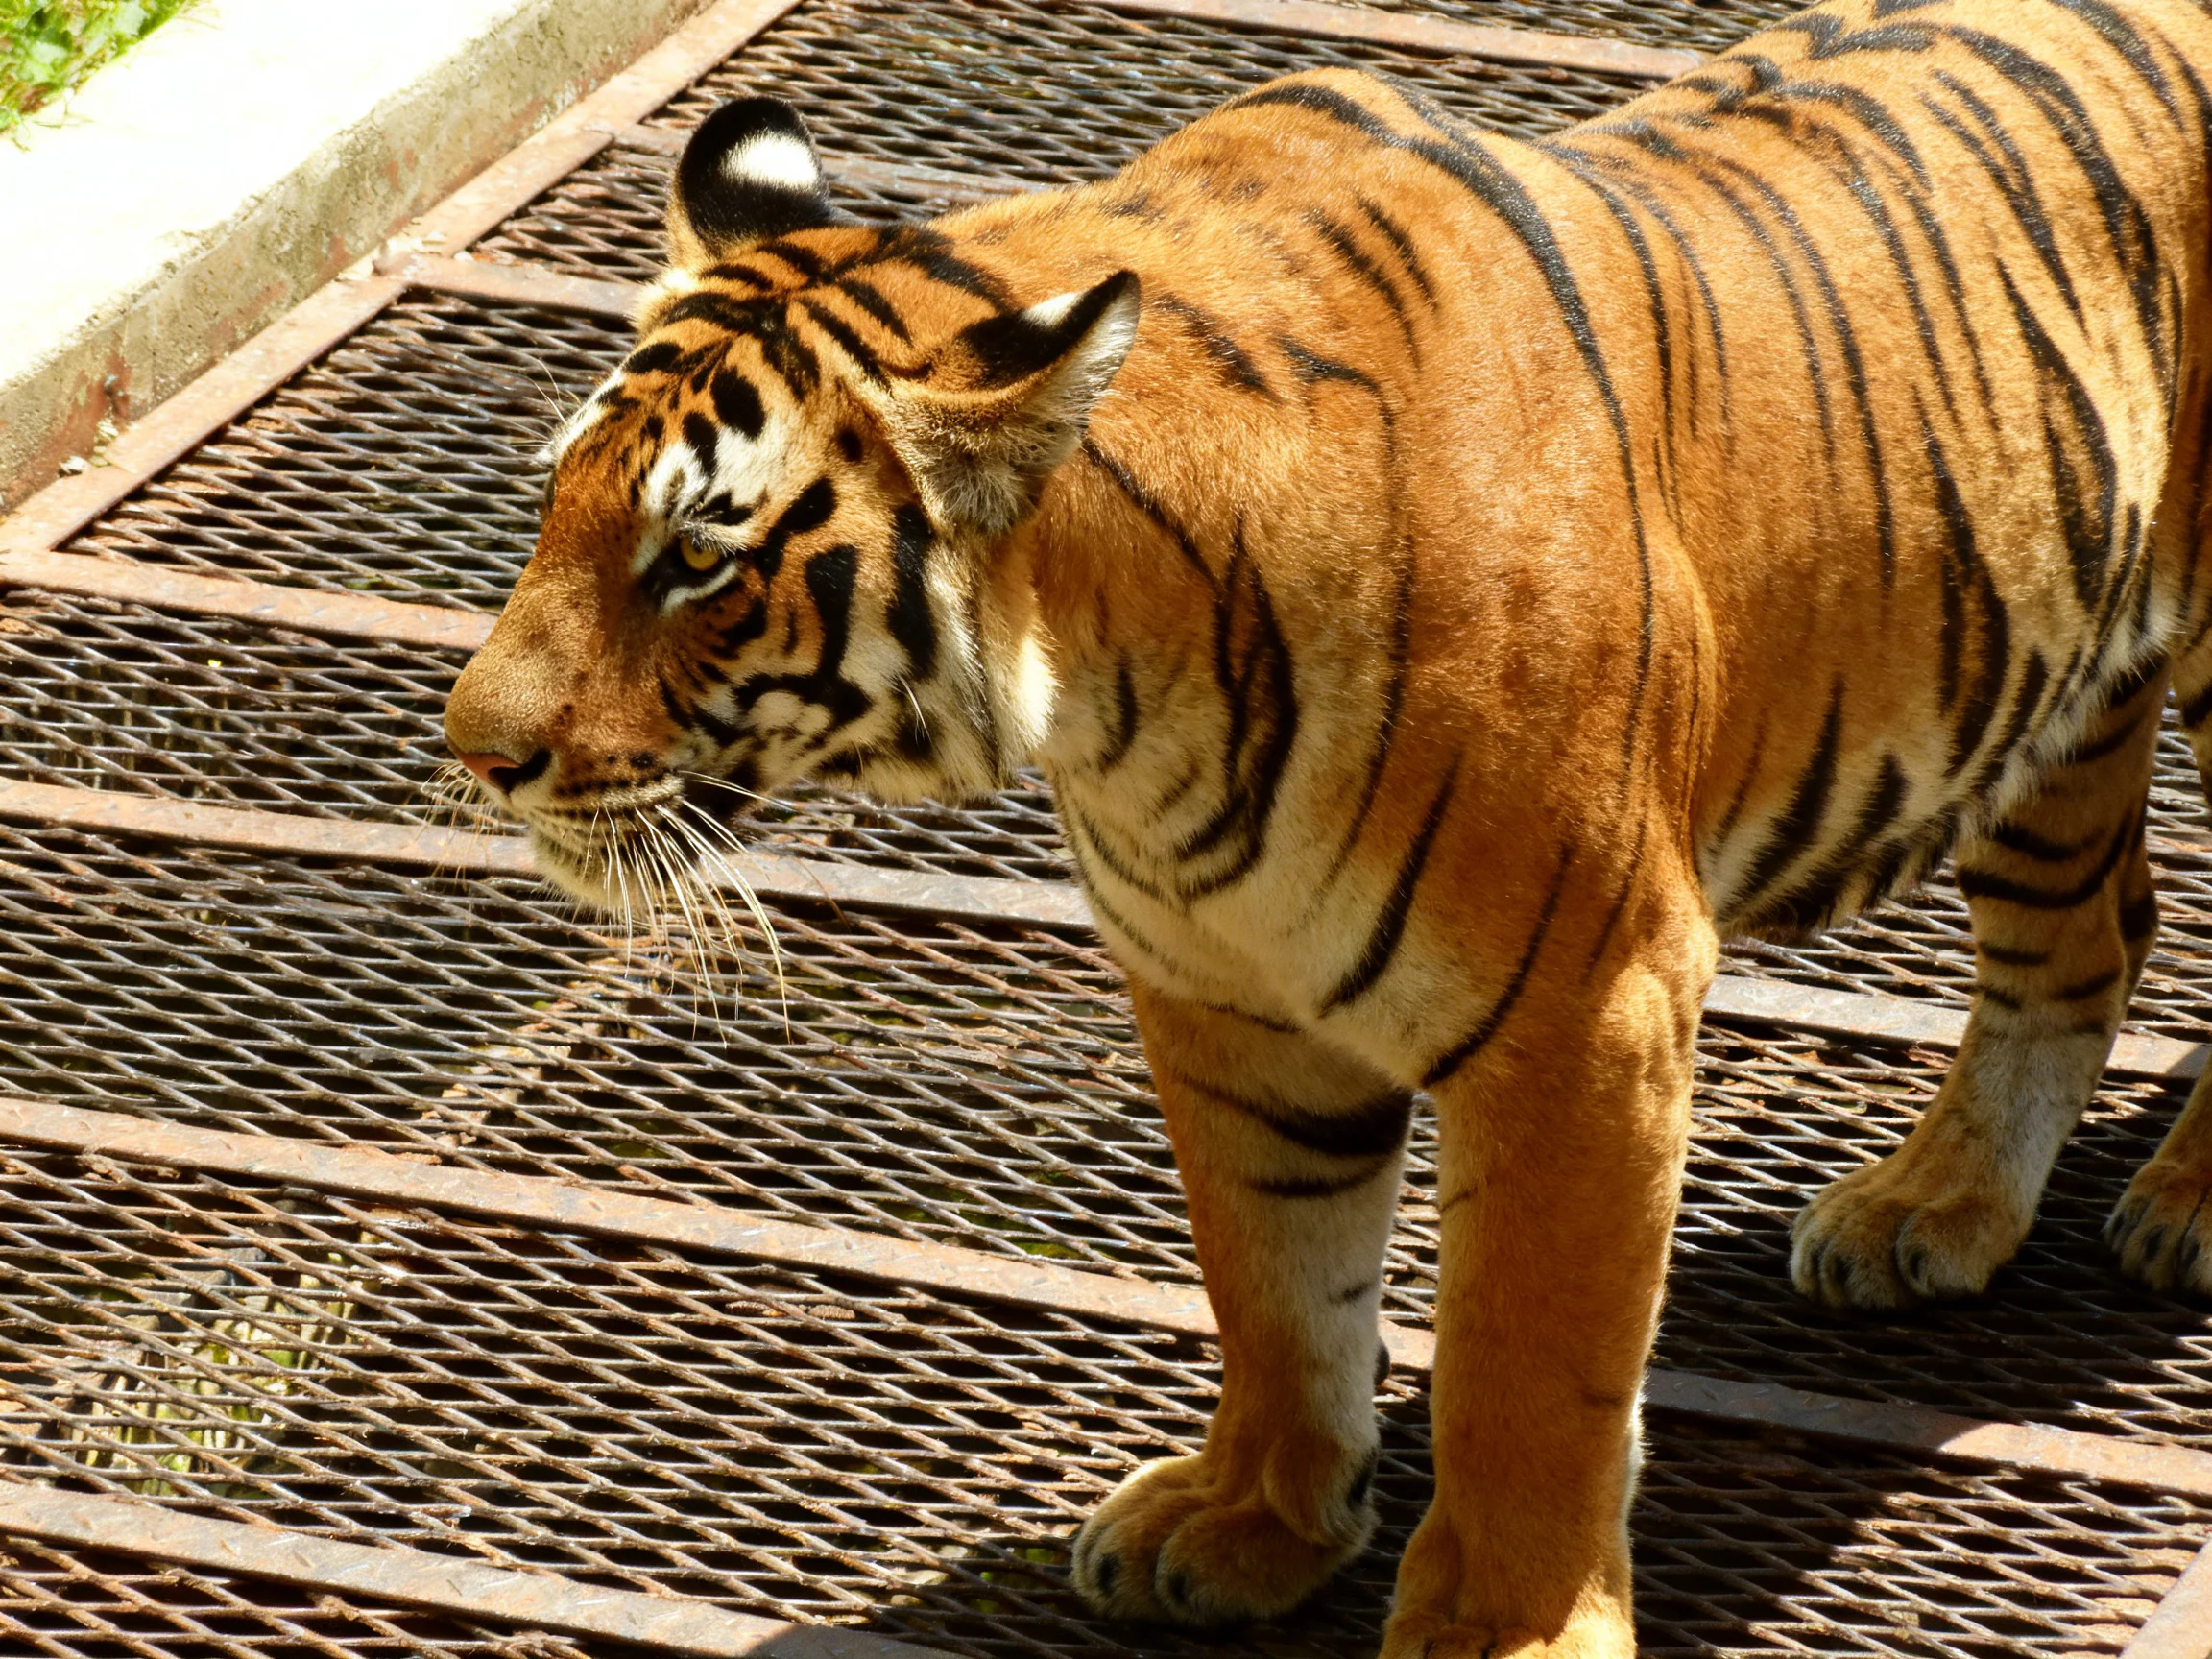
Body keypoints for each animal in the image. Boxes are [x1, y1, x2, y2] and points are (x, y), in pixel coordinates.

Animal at [444, 1, 2212, 1651]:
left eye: (695, 561)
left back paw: (2179, 1208)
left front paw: (1507, 1625)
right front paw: (1255, 1522)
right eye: (554, 507)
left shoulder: (1590, 1013)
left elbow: (1528, 1360)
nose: (474, 750)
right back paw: (1931, 1209)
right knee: (2085, 937)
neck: (1118, 697)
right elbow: (1274, 1280)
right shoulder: (1225, 994)